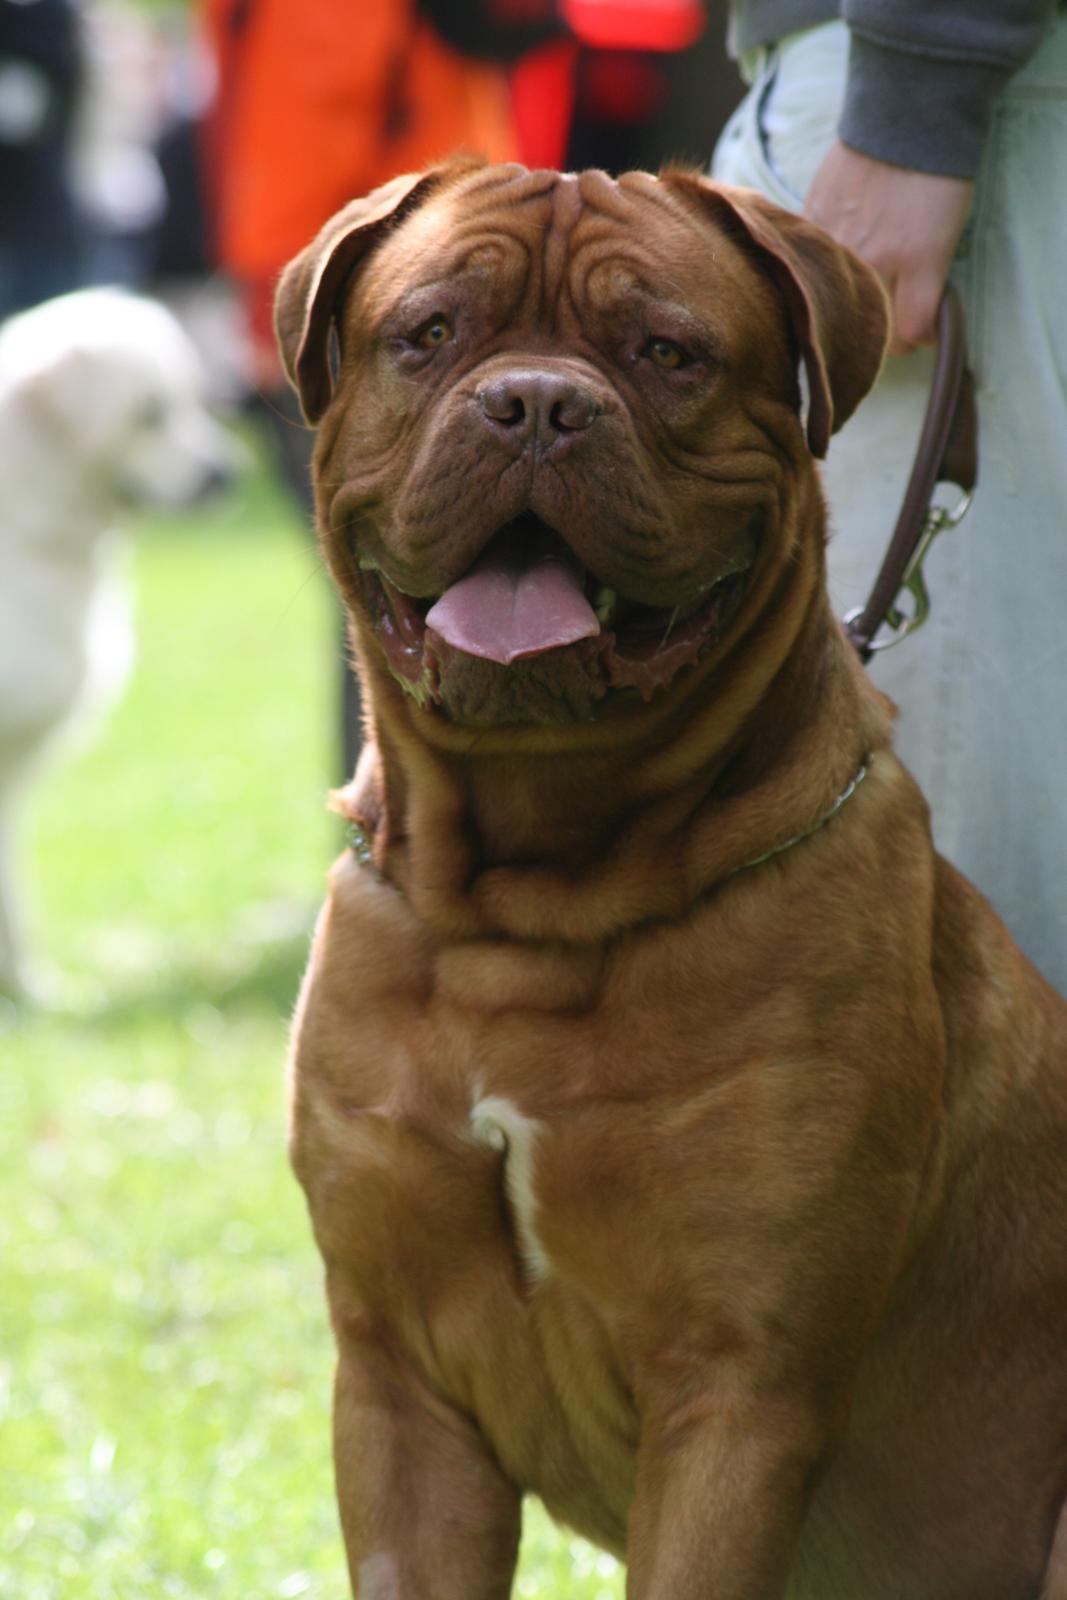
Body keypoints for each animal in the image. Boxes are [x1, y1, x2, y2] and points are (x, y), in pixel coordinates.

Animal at [275, 165, 1067, 1600]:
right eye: (429, 333)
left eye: (665, 352)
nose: (535, 403)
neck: (526, 913)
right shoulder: (395, 1381)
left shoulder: (735, 1387)